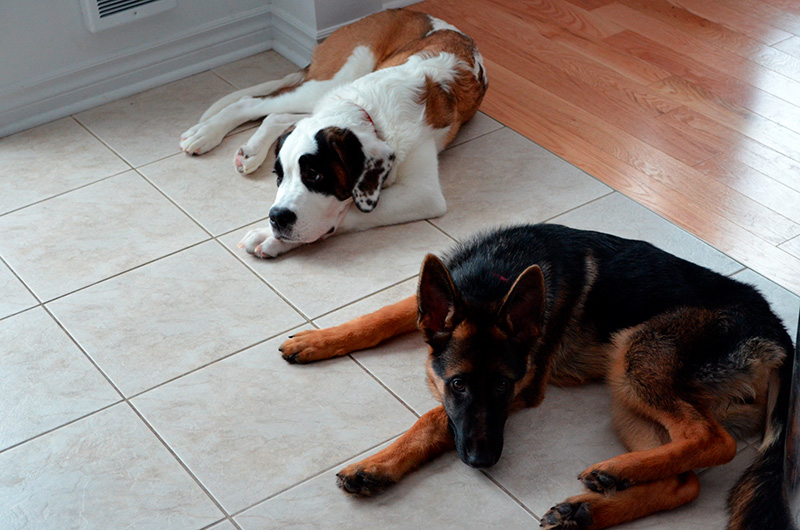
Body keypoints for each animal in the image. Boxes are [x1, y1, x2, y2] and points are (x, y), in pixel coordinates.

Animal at [178, 8, 484, 256]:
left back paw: (248, 151)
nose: (276, 217)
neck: (369, 114)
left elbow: (347, 211)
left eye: (315, 175)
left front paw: (270, 237)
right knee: (251, 103)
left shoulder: (423, 193)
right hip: (328, 82)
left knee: (276, 115)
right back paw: (204, 135)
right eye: (279, 176)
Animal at [278, 223, 792, 528]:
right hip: (625, 395)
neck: (494, 282)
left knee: (712, 441)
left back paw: (614, 474)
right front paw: (319, 340)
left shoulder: (526, 389)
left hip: (634, 357)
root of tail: (779, 334)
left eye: (504, 386)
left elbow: (433, 419)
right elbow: (382, 314)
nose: (483, 461)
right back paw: (590, 506)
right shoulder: (439, 302)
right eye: (458, 384)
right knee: (685, 480)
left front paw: (378, 464)